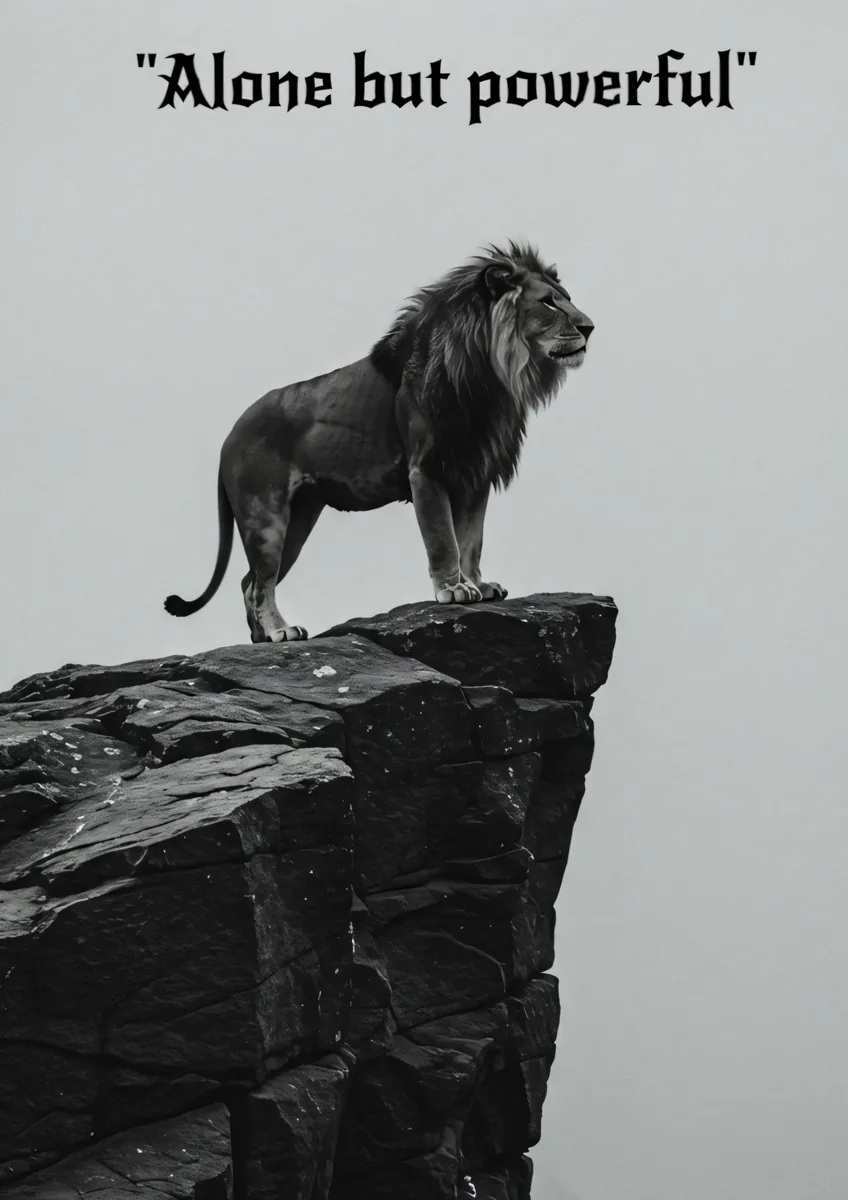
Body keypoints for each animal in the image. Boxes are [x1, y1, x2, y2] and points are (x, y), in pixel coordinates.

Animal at [164, 241, 594, 642]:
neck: (493, 373)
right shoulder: (428, 471)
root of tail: (230, 435)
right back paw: (280, 631)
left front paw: (478, 584)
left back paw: (261, 639)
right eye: (548, 302)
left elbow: (472, 539)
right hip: (266, 516)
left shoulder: (474, 474)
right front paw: (454, 589)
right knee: (258, 584)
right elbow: (444, 540)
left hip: (299, 519)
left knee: (247, 581)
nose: (589, 327)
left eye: (567, 298)